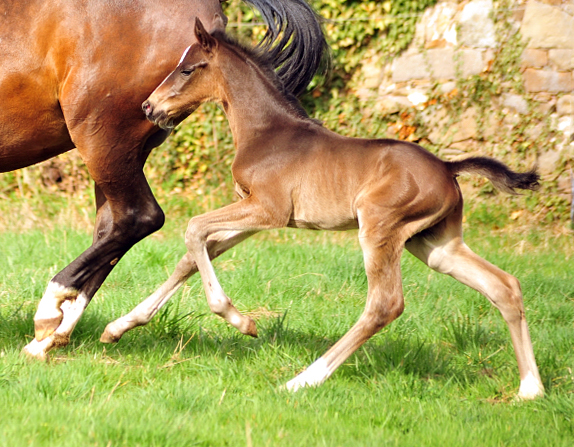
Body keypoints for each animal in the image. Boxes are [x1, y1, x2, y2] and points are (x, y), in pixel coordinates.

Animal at [102, 19, 544, 400]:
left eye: (188, 69)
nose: (149, 107)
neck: (266, 132)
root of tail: (449, 168)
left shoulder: (268, 210)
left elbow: (194, 229)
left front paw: (240, 320)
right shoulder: (255, 214)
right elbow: (193, 256)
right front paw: (119, 327)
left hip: (380, 227)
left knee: (385, 304)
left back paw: (303, 379)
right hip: (434, 243)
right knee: (503, 286)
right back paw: (530, 389)